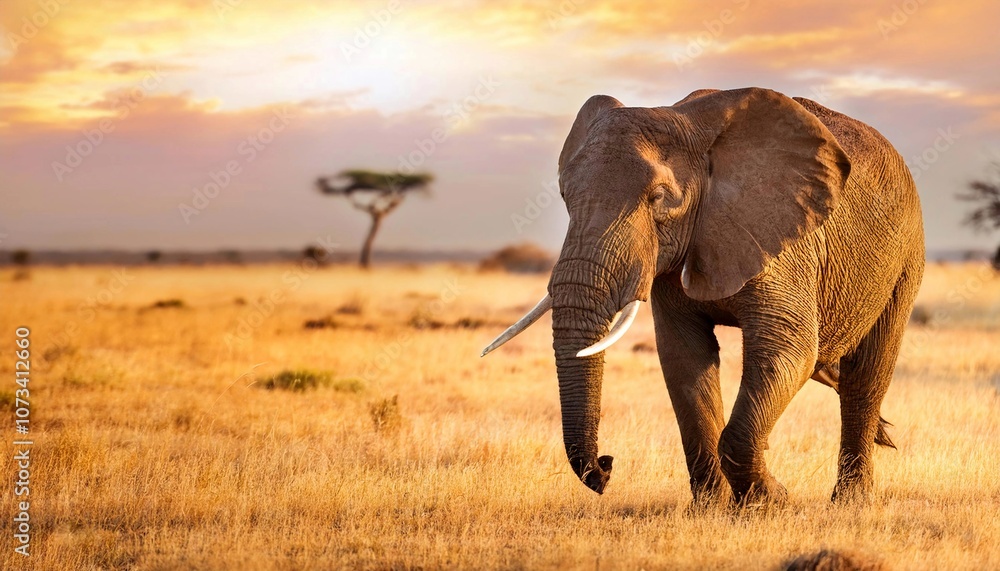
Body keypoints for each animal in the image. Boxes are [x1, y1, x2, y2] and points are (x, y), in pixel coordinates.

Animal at [482, 87, 924, 507]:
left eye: (659, 199)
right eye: (565, 198)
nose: (606, 466)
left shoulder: (783, 241)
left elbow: (789, 348)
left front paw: (770, 501)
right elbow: (684, 358)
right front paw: (714, 507)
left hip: (904, 257)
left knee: (867, 375)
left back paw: (851, 501)